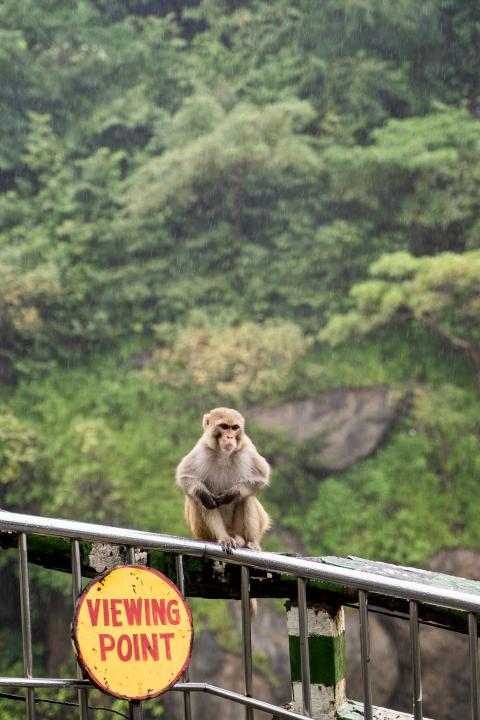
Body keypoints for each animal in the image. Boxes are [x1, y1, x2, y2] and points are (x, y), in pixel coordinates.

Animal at [175, 408, 270, 556]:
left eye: (234, 428)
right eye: (224, 426)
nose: (230, 437)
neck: (224, 454)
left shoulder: (247, 448)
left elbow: (261, 477)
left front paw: (233, 493)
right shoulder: (202, 449)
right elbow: (185, 477)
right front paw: (202, 493)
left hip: (239, 530)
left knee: (247, 498)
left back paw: (252, 543)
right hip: (203, 533)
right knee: (199, 501)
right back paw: (224, 537)